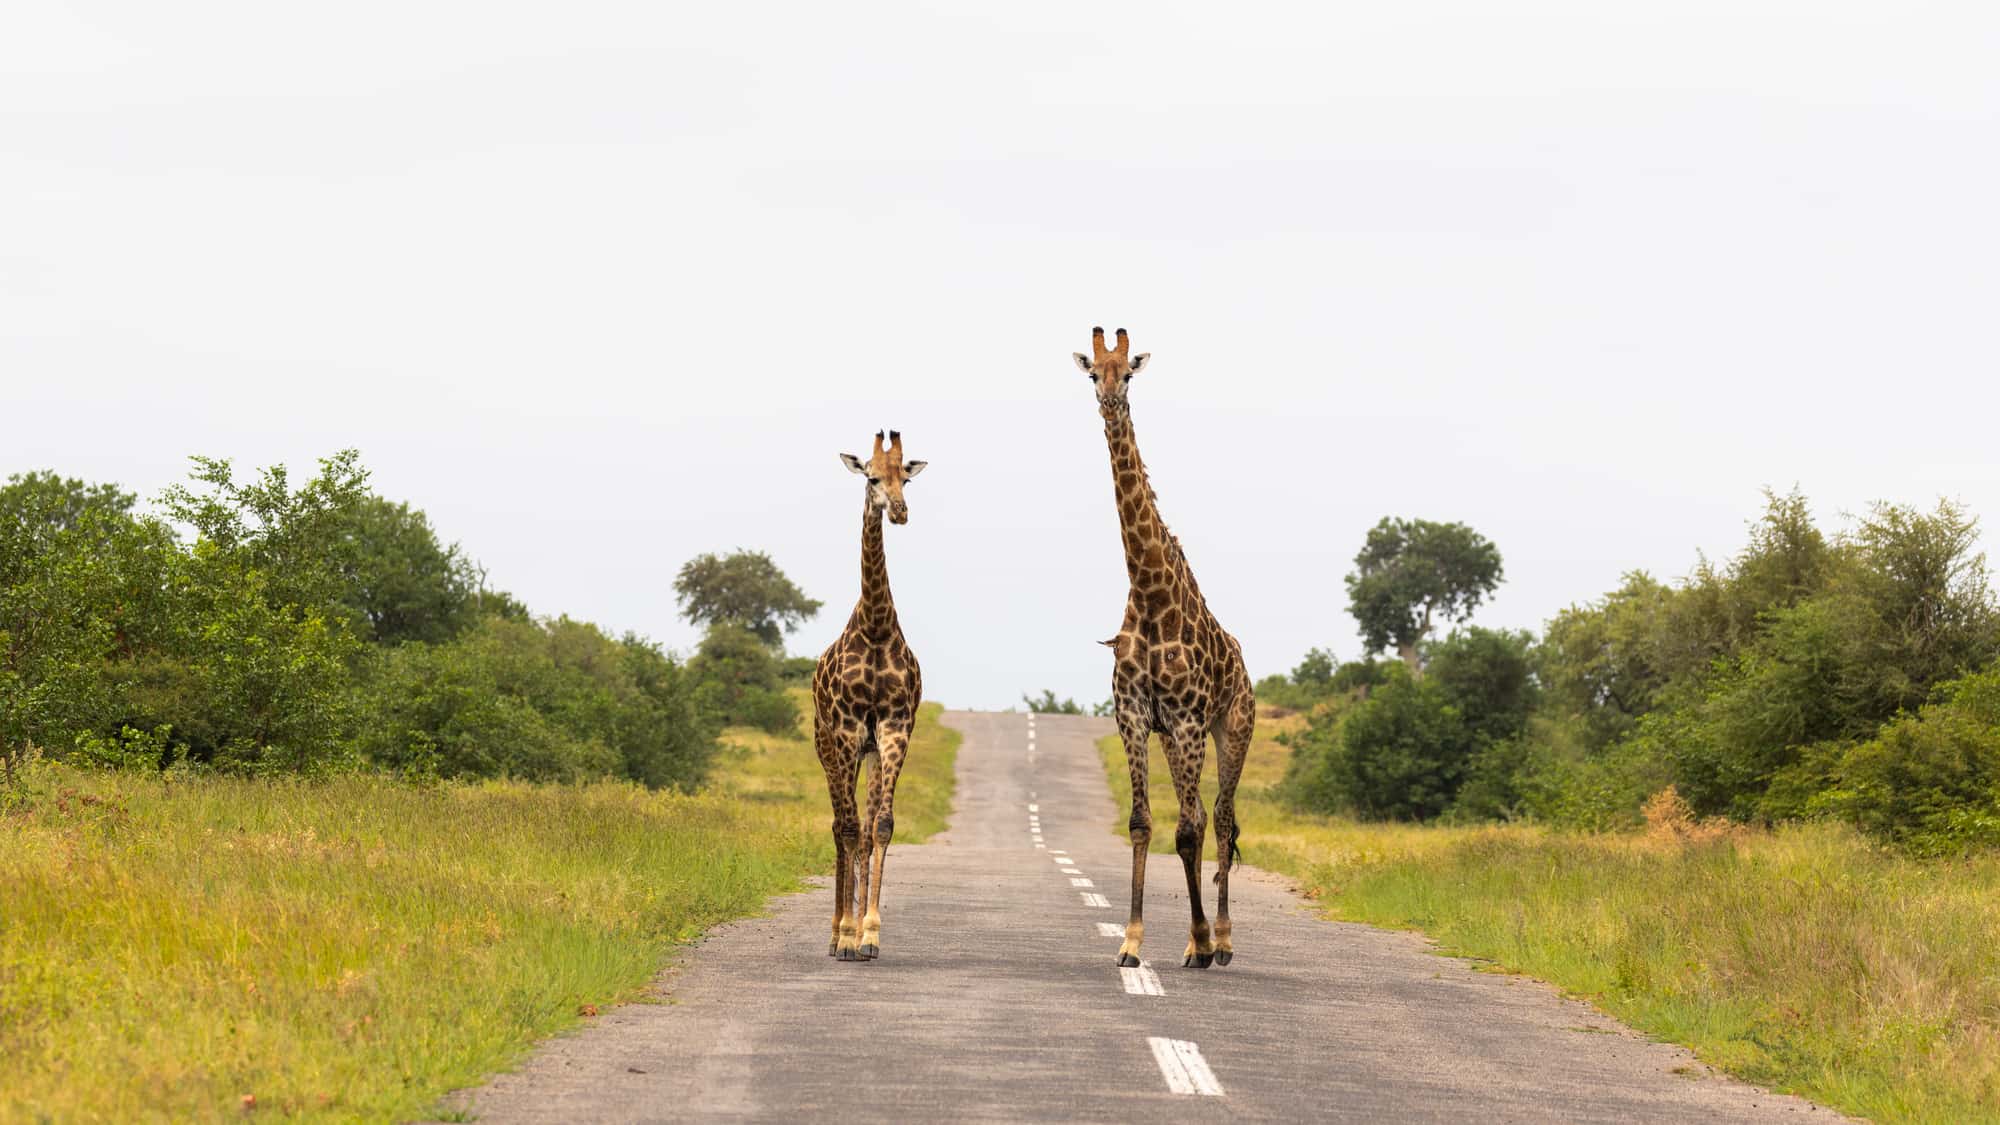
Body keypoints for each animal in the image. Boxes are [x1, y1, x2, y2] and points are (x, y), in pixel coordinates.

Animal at [1072, 327, 1255, 970]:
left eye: (1128, 372)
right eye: (1092, 371)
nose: (1108, 401)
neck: (1150, 595)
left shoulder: (1187, 720)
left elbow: (1190, 829)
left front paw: (1201, 938)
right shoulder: (1134, 716)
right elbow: (1143, 823)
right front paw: (1131, 942)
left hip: (1231, 727)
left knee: (1219, 818)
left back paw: (1220, 940)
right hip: (1180, 739)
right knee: (1198, 816)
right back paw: (1198, 940)